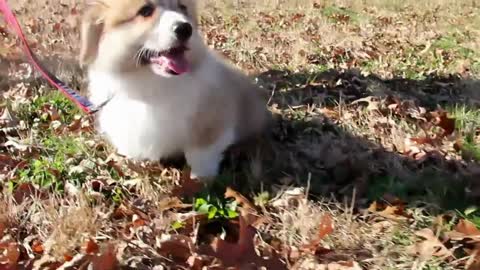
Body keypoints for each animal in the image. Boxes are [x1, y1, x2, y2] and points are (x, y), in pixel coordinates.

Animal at [77, 0, 268, 181]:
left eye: (182, 7)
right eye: (145, 10)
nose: (185, 28)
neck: (151, 83)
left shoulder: (212, 121)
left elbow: (201, 154)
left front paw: (200, 179)